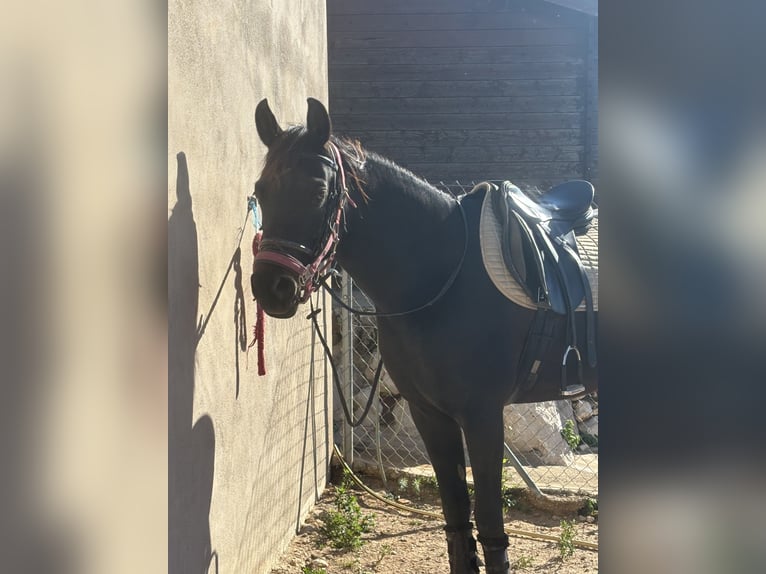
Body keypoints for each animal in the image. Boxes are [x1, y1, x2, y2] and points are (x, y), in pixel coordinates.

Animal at [250, 98, 597, 574]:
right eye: (260, 190)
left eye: (318, 192)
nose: (271, 288)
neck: (441, 274)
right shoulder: (428, 412)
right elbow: (456, 519)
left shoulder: (482, 415)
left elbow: (490, 524)